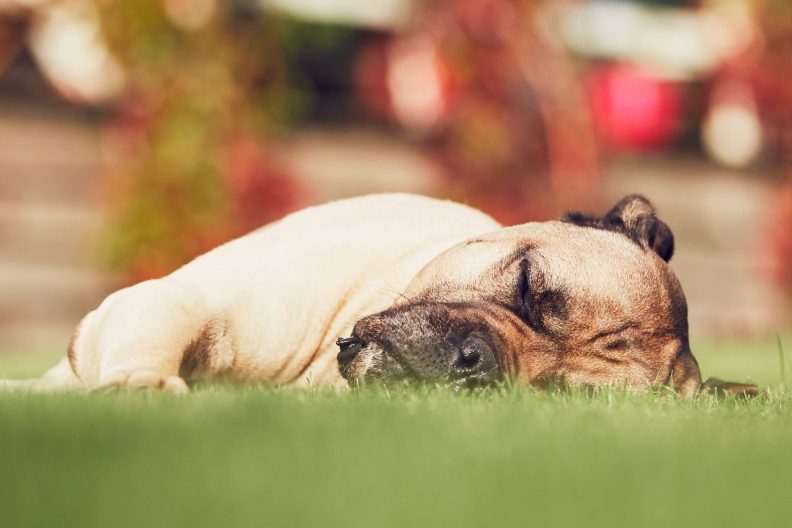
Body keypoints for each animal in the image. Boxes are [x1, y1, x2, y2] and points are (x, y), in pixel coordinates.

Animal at [4, 194, 760, 396]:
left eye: (551, 397)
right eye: (528, 285)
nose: (476, 362)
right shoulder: (180, 301)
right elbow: (160, 323)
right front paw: (143, 387)